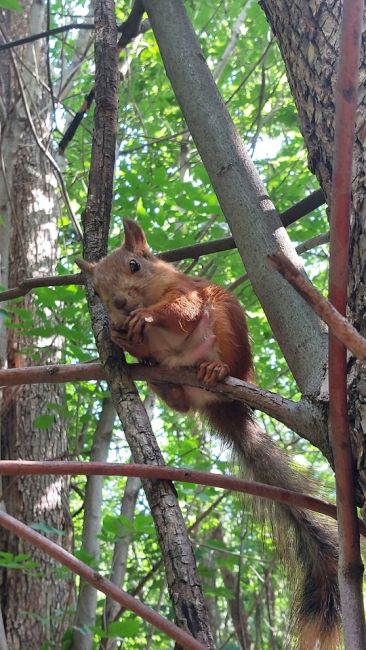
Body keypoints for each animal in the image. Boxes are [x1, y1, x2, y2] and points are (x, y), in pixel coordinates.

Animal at [76, 219, 342, 648]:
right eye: (96, 290)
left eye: (134, 265)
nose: (119, 304)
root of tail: (220, 402)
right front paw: (120, 336)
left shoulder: (188, 290)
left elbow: (180, 311)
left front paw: (146, 316)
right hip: (175, 375)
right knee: (180, 401)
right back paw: (165, 385)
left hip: (225, 323)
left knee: (220, 356)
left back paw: (216, 371)